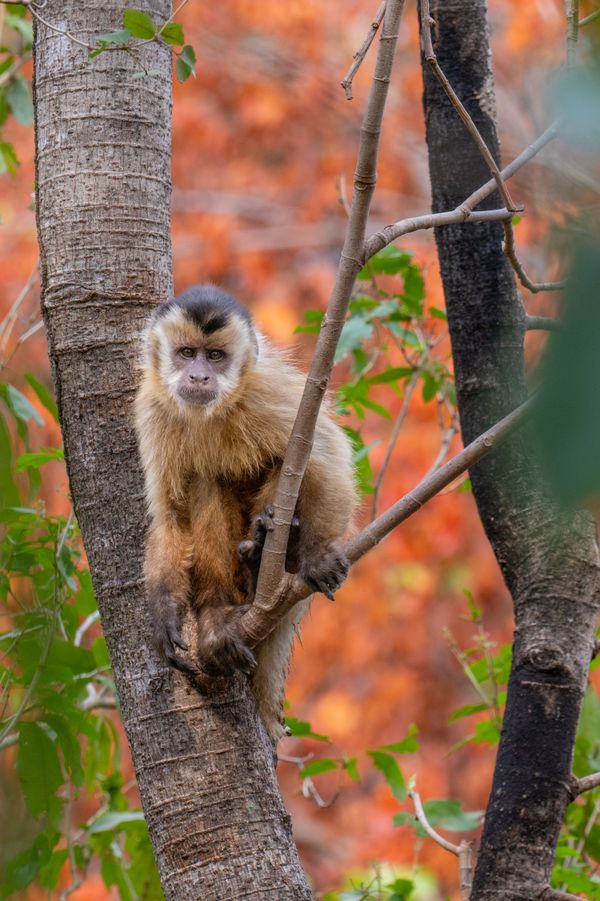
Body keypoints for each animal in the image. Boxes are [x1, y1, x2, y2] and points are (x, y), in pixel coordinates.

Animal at [135, 284, 356, 736]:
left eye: (215, 356)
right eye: (187, 353)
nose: (199, 376)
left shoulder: (265, 392)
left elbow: (327, 454)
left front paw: (318, 555)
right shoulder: (153, 410)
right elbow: (169, 516)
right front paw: (164, 611)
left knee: (288, 464)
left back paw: (267, 554)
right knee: (204, 482)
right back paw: (218, 611)